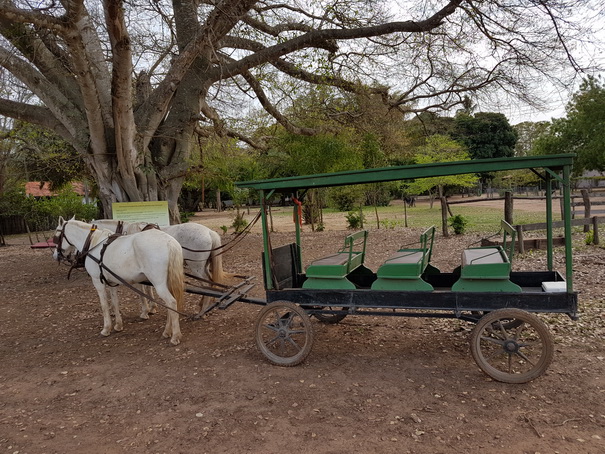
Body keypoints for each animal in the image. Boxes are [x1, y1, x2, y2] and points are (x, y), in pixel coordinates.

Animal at [52, 218, 184, 346]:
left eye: (56, 236)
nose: (55, 255)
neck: (92, 244)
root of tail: (169, 242)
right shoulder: (112, 282)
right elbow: (115, 302)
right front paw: (118, 325)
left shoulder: (97, 282)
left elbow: (104, 305)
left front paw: (106, 328)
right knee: (170, 304)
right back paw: (167, 331)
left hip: (158, 284)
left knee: (171, 302)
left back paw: (175, 336)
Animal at [94, 219, 229, 318]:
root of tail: (209, 232)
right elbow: (149, 289)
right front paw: (152, 308)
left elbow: (143, 292)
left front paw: (145, 311)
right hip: (203, 267)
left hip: (196, 267)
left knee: (207, 284)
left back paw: (203, 310)